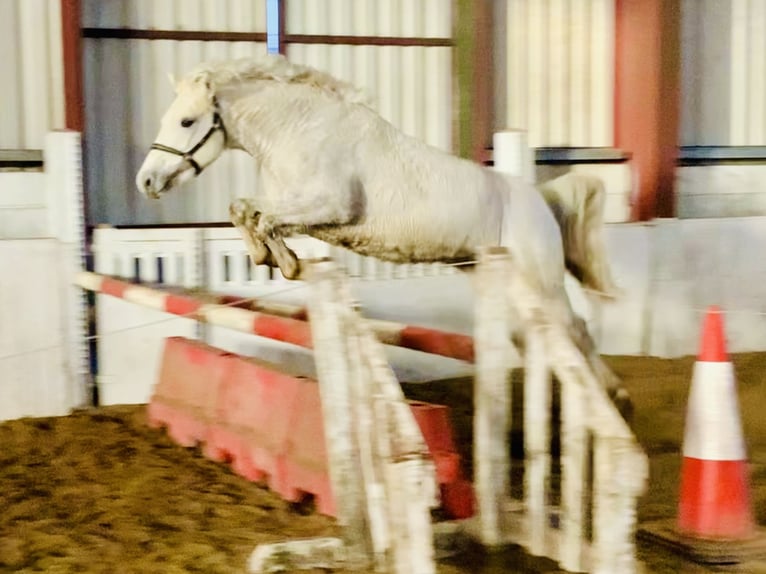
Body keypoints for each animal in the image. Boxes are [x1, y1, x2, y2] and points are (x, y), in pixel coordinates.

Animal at [138, 56, 628, 402]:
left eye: (186, 121)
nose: (146, 182)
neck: (298, 131)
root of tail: (539, 199)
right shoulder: (296, 208)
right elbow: (245, 210)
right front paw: (271, 258)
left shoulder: (330, 206)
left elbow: (263, 218)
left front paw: (285, 263)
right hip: (498, 281)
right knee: (538, 339)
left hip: (540, 281)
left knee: (576, 330)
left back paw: (615, 397)